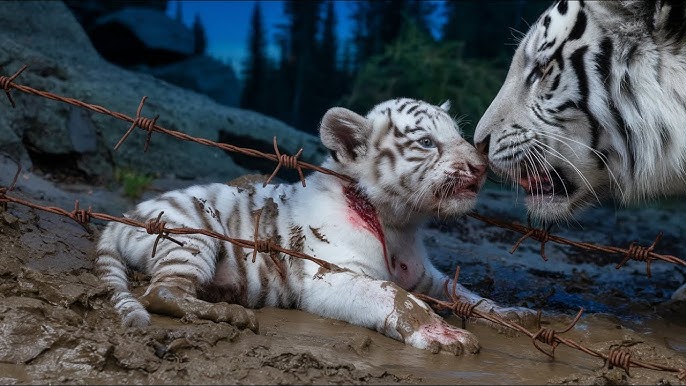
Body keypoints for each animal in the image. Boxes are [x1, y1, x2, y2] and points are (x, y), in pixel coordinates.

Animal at [97, 99, 536, 356]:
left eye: (460, 135)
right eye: (427, 142)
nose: (480, 167)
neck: (399, 221)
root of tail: (125, 216)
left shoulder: (425, 274)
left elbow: (464, 294)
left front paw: (515, 315)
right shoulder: (330, 276)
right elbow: (395, 296)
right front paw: (442, 334)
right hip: (191, 238)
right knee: (161, 292)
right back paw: (228, 313)